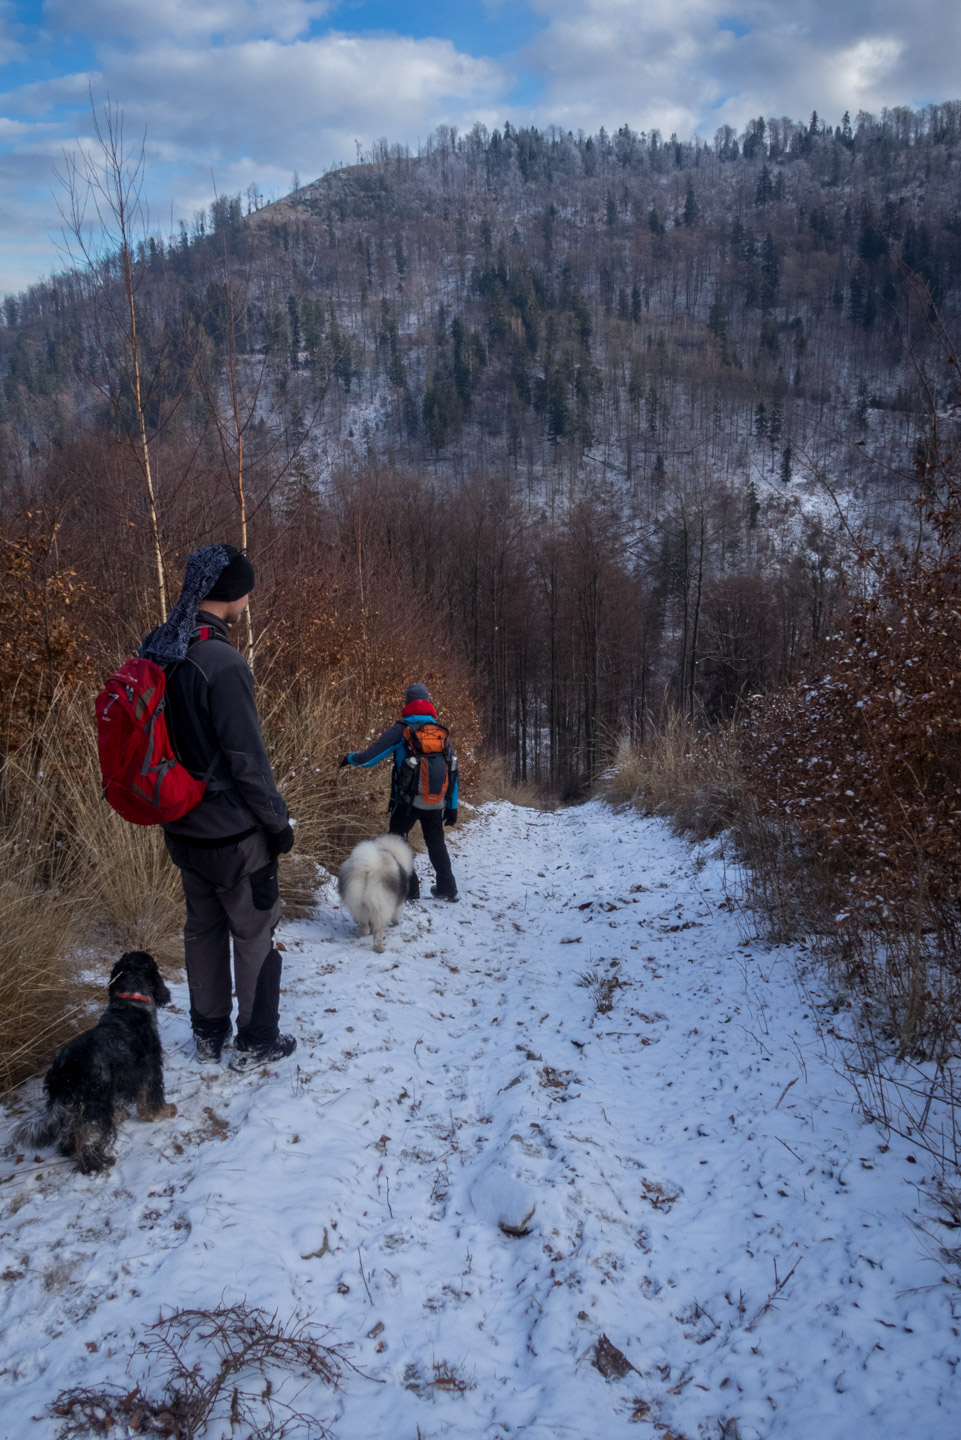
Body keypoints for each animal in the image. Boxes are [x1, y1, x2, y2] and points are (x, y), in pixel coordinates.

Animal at [13, 950, 178, 1175]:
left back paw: (70, 1150)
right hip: (93, 1104)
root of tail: (63, 1071)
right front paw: (164, 1112)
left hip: (75, 1104)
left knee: (71, 1132)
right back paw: (99, 1163)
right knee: (90, 1139)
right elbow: (152, 1099)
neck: (131, 1001)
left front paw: (120, 1115)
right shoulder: (150, 1068)